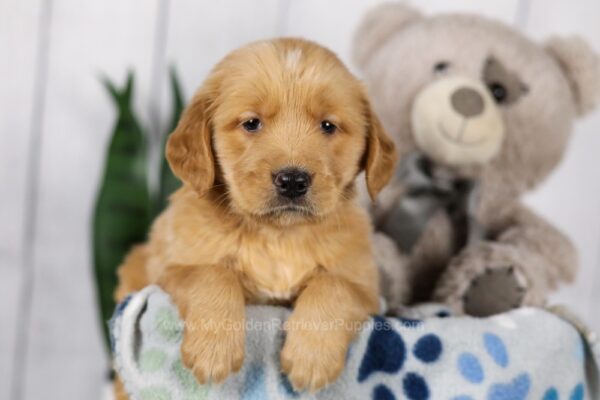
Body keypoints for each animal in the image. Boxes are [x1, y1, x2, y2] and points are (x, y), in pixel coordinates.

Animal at [116, 38, 398, 394]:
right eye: (251, 123)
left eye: (328, 126)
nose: (292, 180)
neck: (277, 235)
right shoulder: (164, 272)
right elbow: (212, 274)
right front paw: (213, 351)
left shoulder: (368, 290)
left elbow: (334, 286)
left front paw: (311, 359)